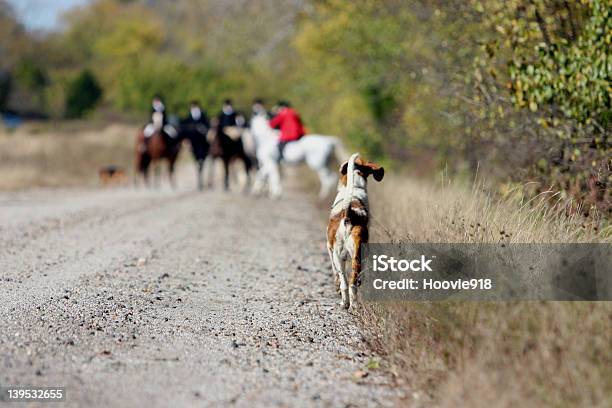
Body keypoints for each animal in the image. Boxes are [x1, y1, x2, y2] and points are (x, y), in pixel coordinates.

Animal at [326, 153, 382, 310]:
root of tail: (348, 216)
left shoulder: (329, 248)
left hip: (340, 255)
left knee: (346, 283)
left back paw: (347, 303)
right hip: (357, 256)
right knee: (350, 283)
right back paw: (351, 304)